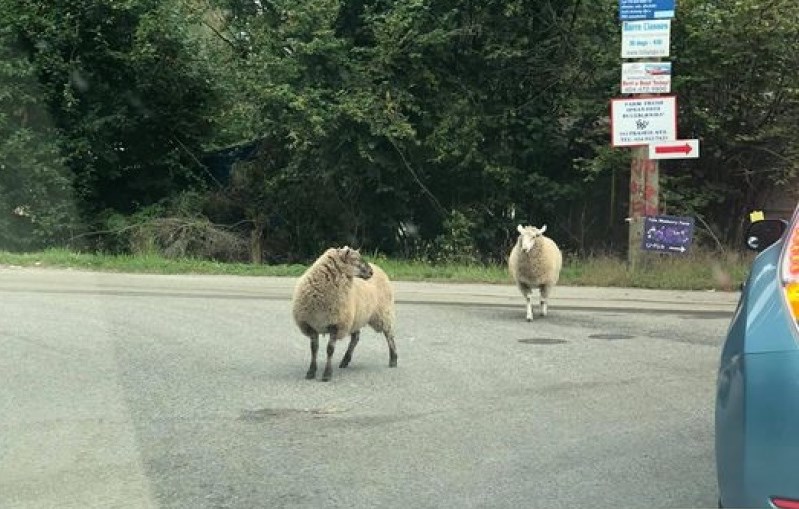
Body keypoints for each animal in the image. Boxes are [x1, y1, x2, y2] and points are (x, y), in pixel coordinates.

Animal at [290, 244, 396, 380]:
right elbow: (314, 349)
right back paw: (345, 360)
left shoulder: (336, 324)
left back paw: (393, 359)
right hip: (356, 318)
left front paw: (327, 374)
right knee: (356, 338)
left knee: (389, 334)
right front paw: (311, 372)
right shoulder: (311, 325)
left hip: (382, 312)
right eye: (355, 259)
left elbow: (330, 349)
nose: (370, 272)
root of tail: (379, 268)